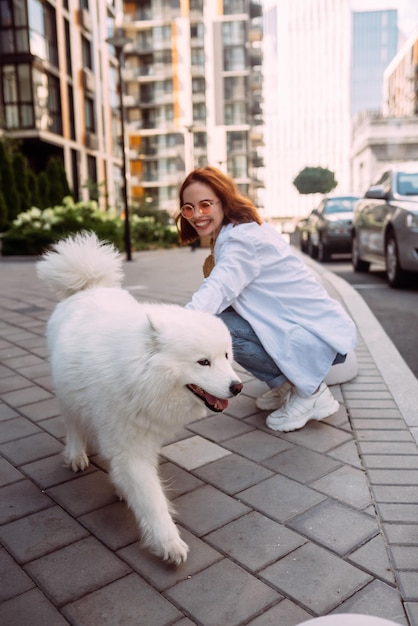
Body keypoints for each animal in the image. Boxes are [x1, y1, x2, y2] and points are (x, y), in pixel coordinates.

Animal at [38, 233, 245, 564]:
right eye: (203, 362)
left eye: (226, 356)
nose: (238, 387)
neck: (139, 378)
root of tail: (88, 287)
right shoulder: (129, 448)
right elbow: (151, 499)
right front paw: (168, 543)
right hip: (67, 394)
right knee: (73, 425)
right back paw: (76, 454)